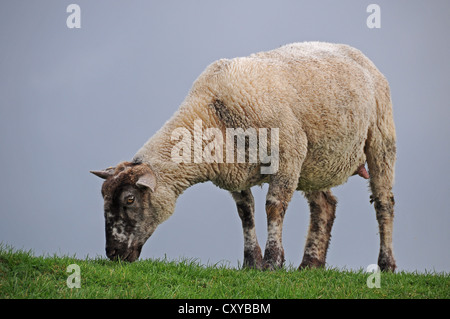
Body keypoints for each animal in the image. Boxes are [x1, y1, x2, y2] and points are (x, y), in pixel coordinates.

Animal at [91, 41, 398, 272]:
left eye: (130, 199)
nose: (113, 254)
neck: (212, 113)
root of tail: (355, 52)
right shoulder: (235, 169)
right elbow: (245, 214)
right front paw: (252, 262)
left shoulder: (288, 154)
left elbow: (273, 207)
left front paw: (273, 262)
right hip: (314, 162)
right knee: (325, 206)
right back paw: (310, 264)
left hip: (380, 137)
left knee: (383, 203)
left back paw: (386, 265)